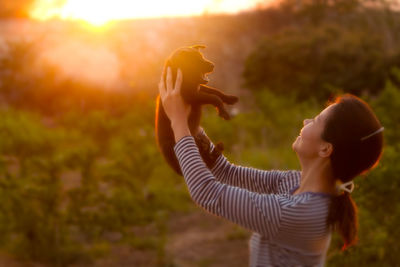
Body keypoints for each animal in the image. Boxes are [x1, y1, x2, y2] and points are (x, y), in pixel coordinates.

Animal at [155, 45, 238, 176]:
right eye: (195, 61)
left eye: (202, 57)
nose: (213, 65)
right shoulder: (192, 95)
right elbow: (213, 98)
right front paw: (223, 111)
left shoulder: (199, 89)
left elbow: (214, 91)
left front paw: (229, 98)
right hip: (173, 147)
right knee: (208, 161)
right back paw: (214, 148)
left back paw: (208, 145)